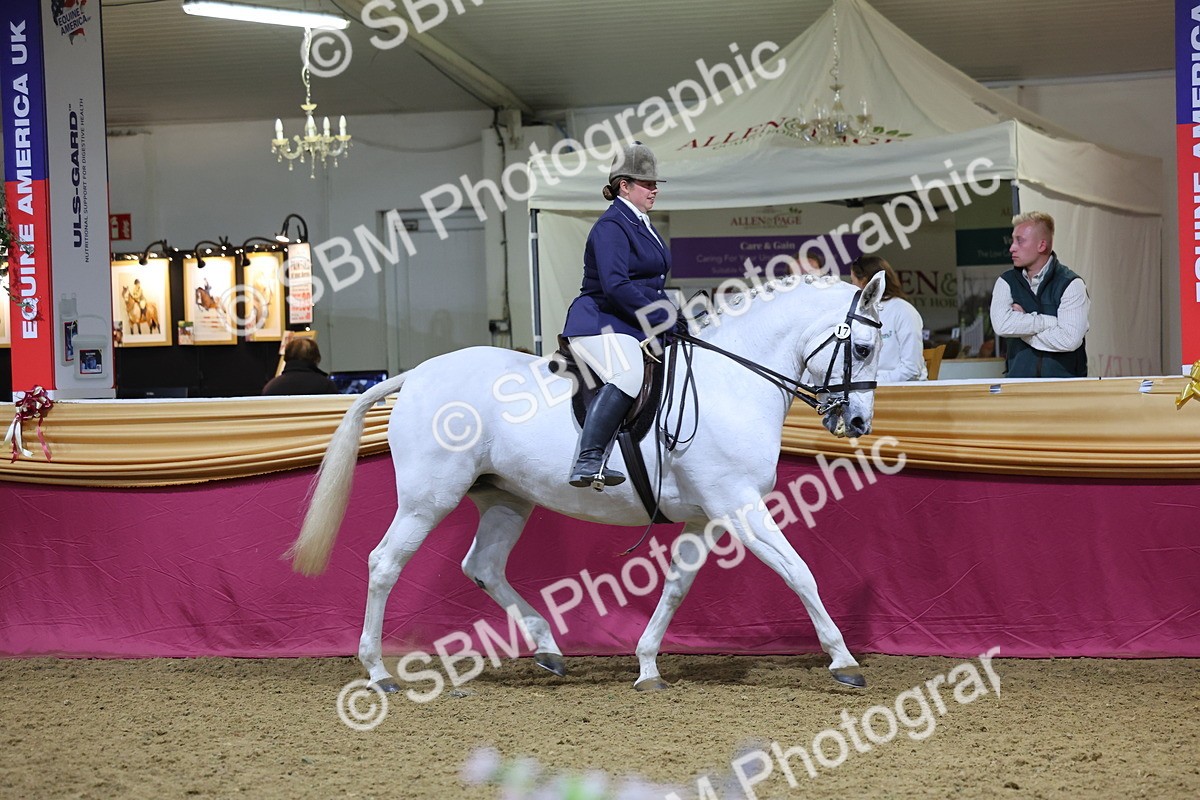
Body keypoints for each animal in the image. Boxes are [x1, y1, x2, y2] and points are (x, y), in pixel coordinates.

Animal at [287, 272, 887, 693]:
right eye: (861, 348)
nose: (858, 422)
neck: (733, 383)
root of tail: (417, 374)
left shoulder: (705, 516)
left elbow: (676, 586)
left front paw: (647, 665)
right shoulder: (739, 507)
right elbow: (800, 572)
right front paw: (844, 661)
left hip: (505, 498)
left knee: (483, 566)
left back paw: (548, 649)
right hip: (427, 499)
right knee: (384, 563)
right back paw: (377, 671)